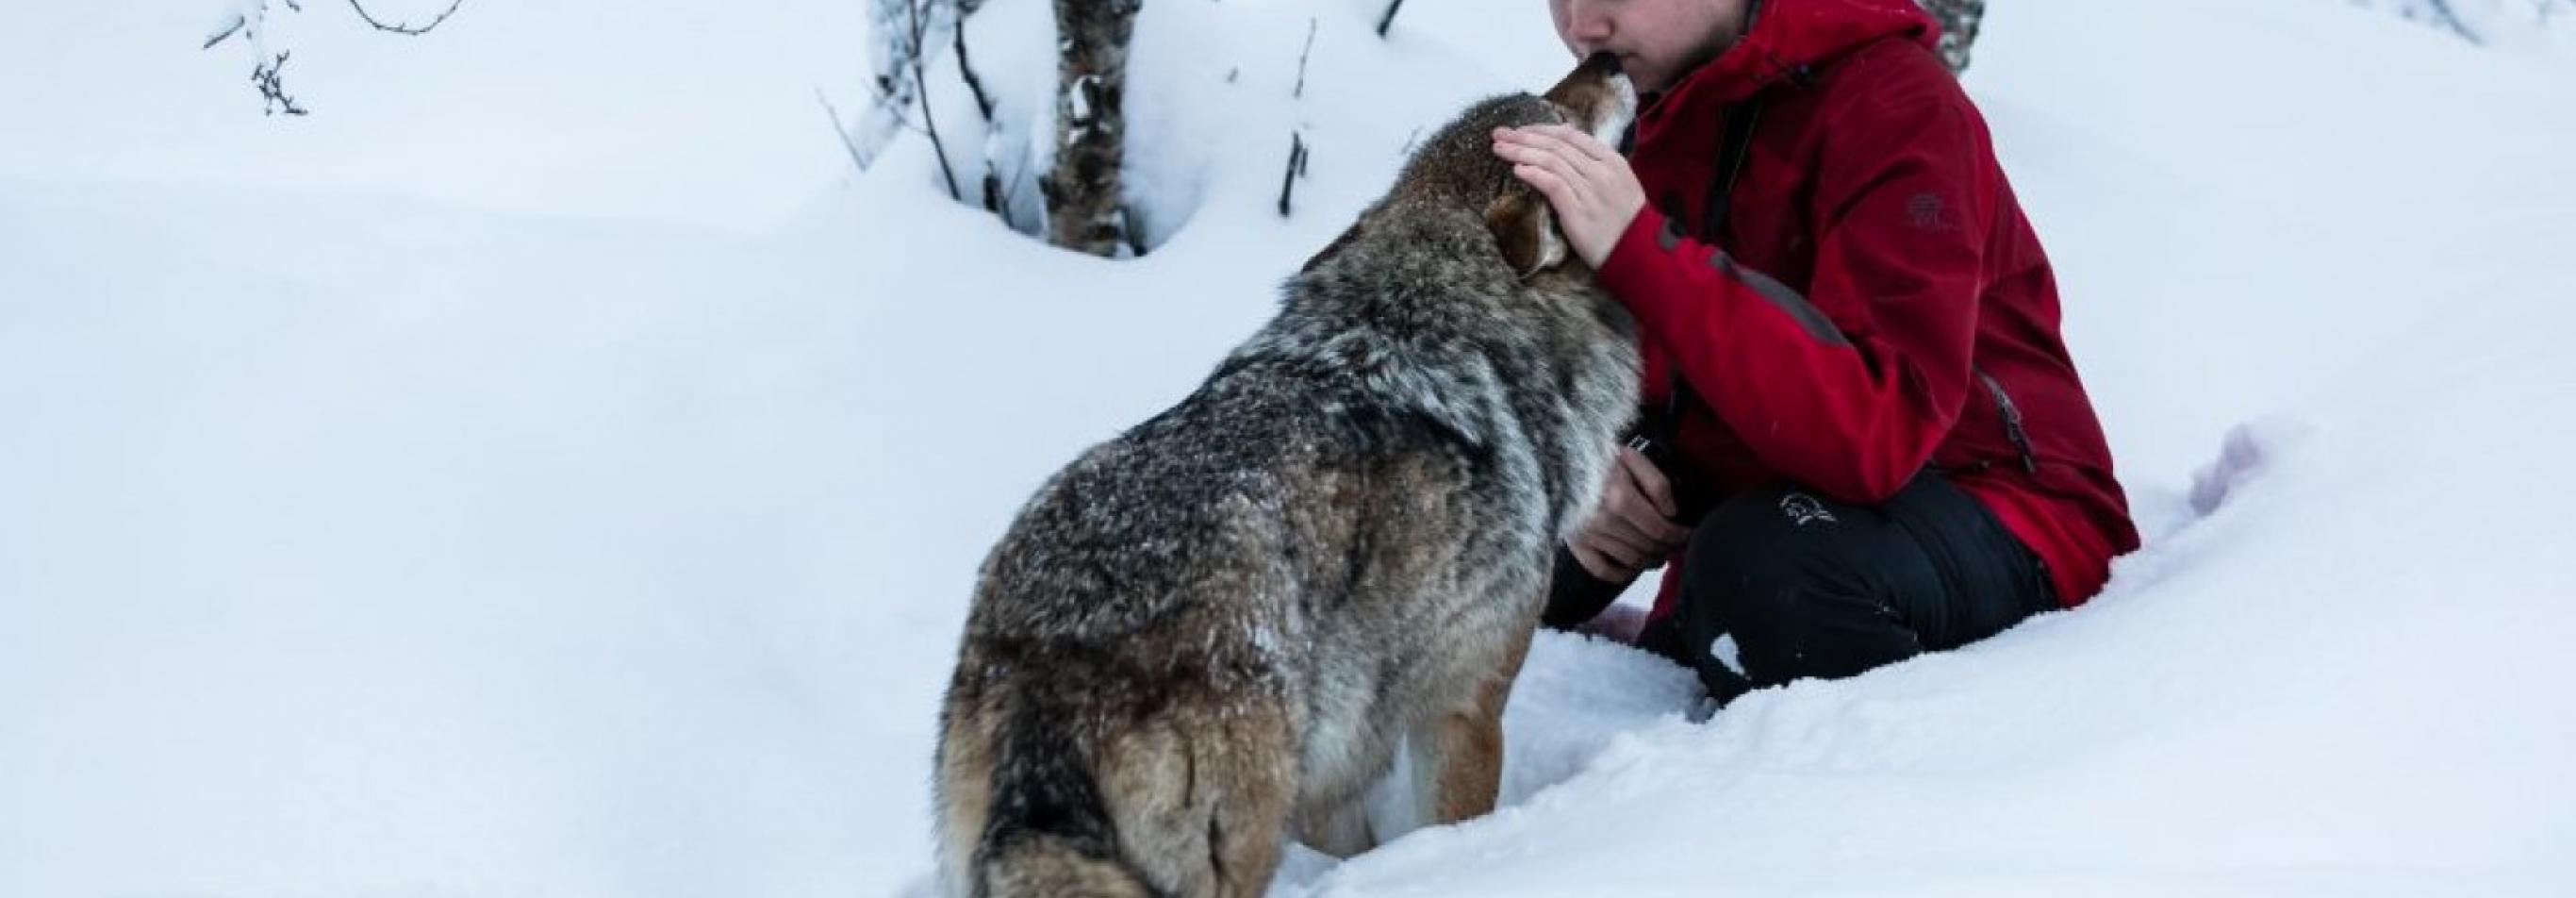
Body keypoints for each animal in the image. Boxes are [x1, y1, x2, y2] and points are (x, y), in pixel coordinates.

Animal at [937, 56, 1638, 898]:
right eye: (1562, 122)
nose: (1609, 61)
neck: (1424, 311)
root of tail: (1062, 653)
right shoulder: (1465, 709)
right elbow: (1453, 825)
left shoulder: (1342, 742)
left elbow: (1351, 834)